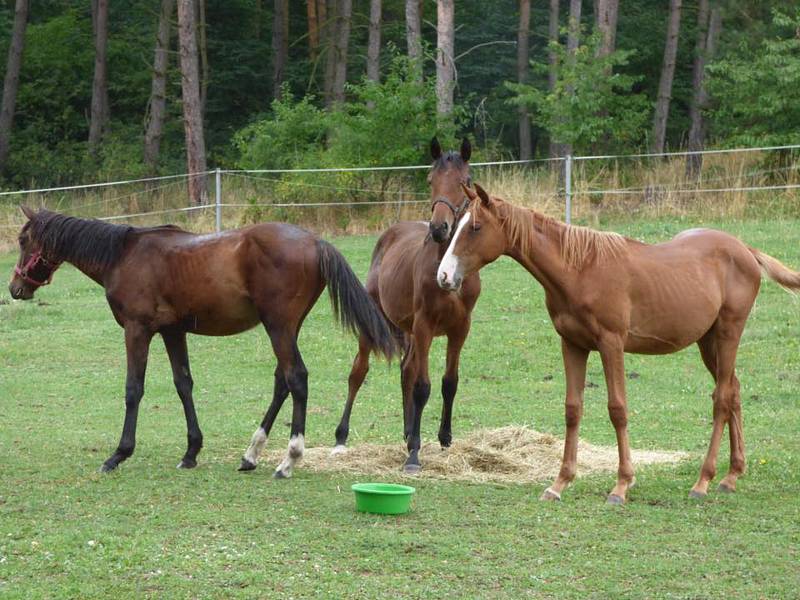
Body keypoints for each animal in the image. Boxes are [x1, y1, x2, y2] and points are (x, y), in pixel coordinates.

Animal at [9, 207, 396, 478]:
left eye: (24, 241)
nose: (15, 288)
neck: (123, 255)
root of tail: (315, 242)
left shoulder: (137, 330)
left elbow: (134, 389)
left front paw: (118, 454)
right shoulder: (172, 332)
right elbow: (184, 384)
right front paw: (191, 452)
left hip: (279, 327)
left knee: (296, 378)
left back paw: (288, 460)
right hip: (286, 328)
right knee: (282, 381)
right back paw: (251, 454)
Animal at [332, 137, 482, 474]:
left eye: (465, 181)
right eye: (430, 180)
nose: (439, 228)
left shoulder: (460, 328)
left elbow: (449, 383)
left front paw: (443, 439)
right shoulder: (425, 324)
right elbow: (423, 386)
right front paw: (414, 454)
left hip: (410, 331)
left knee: (406, 370)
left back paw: (408, 430)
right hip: (378, 323)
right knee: (358, 372)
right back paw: (341, 437)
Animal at [438, 185, 800, 504]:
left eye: (475, 227)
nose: (443, 277)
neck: (580, 269)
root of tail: (745, 250)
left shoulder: (611, 345)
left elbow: (618, 410)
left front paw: (622, 485)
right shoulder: (572, 345)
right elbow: (573, 409)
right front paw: (559, 484)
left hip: (727, 335)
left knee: (722, 399)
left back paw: (703, 481)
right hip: (708, 343)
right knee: (734, 390)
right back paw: (732, 475)